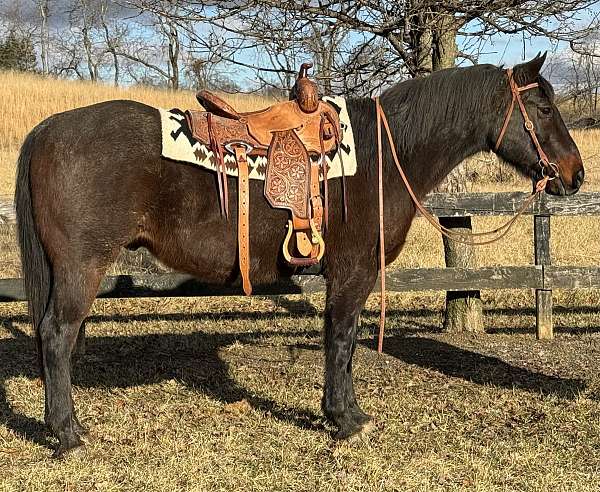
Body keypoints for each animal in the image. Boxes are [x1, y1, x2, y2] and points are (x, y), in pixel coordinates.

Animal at [14, 54, 584, 458]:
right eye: (543, 108)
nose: (575, 175)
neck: (383, 155)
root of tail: (47, 131)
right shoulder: (353, 274)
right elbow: (342, 341)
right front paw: (345, 419)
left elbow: (340, 342)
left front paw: (341, 413)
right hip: (80, 269)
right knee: (56, 336)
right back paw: (68, 434)